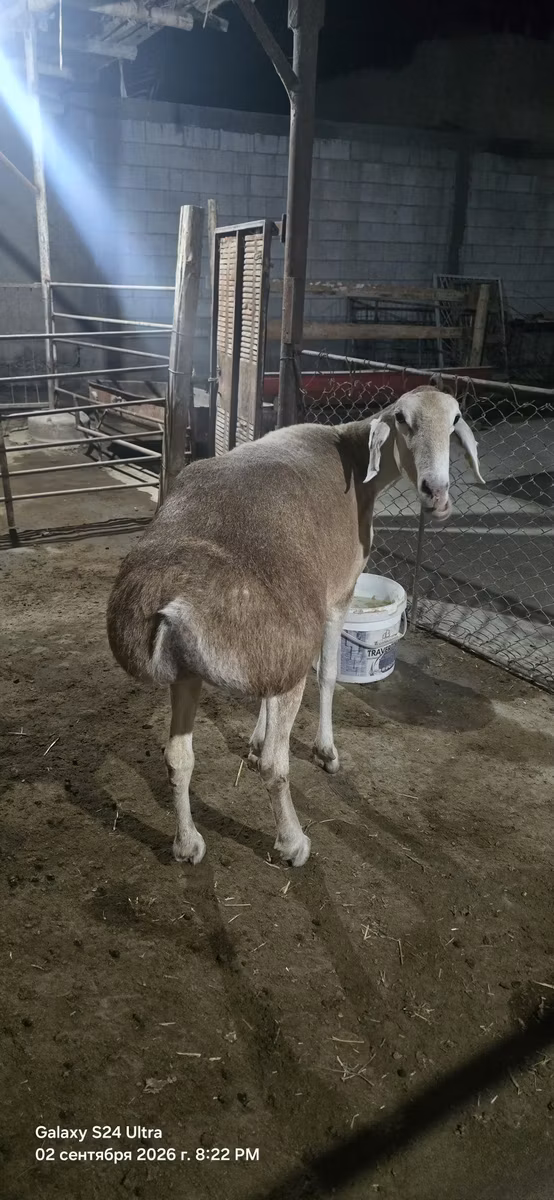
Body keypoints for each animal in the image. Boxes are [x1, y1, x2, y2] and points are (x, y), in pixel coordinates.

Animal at [107, 386, 484, 869]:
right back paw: (293, 842)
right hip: (281, 654)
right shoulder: (336, 598)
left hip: (193, 671)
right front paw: (326, 752)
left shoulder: (272, 656)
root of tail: (174, 602)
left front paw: (253, 739)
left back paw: (188, 843)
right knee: (275, 764)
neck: (355, 458)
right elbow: (328, 676)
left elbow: (261, 704)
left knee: (177, 756)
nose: (436, 492)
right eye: (402, 419)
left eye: (455, 420)